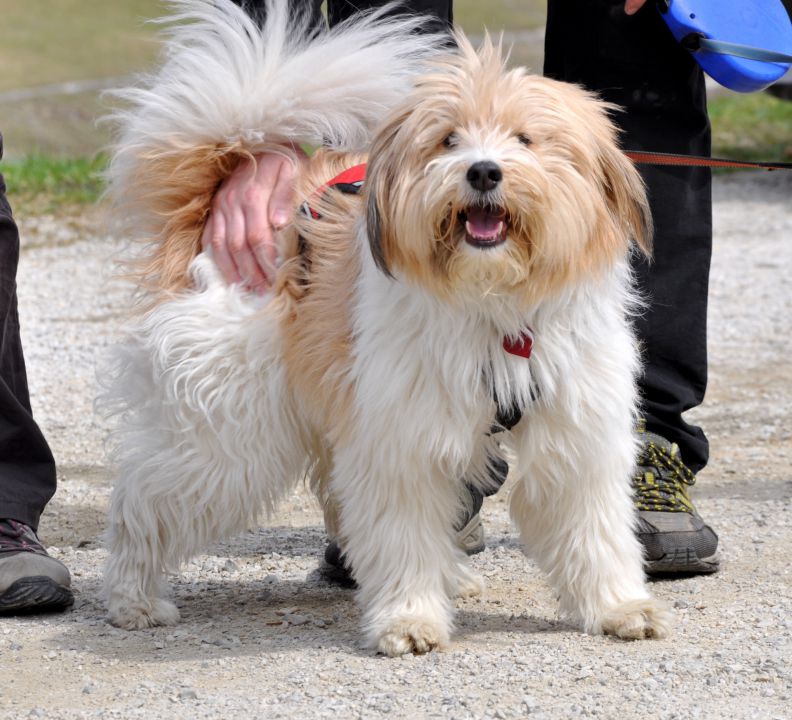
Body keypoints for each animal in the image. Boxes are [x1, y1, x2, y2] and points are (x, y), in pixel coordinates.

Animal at [102, 0, 676, 656]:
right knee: (145, 501)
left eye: (526, 138)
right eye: (448, 139)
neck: (494, 306)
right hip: (227, 432)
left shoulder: (576, 434)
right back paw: (132, 597)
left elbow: (595, 530)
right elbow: (401, 536)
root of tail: (218, 198)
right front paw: (409, 618)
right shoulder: (402, 440)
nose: (484, 171)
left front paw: (618, 606)